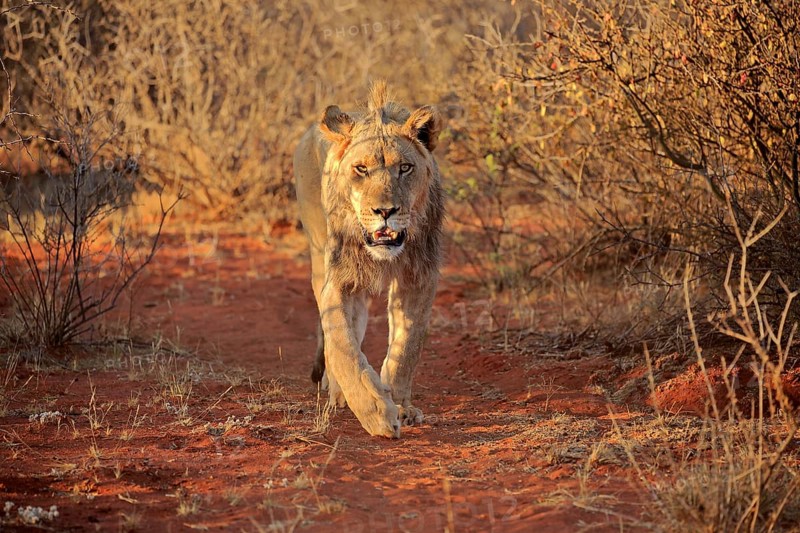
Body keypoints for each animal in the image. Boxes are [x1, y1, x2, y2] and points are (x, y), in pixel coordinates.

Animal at [292, 82, 444, 438]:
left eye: (405, 168)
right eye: (361, 169)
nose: (385, 211)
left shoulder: (419, 277)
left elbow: (406, 347)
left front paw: (400, 406)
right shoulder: (338, 280)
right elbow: (344, 347)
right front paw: (375, 411)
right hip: (318, 254)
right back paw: (337, 393)